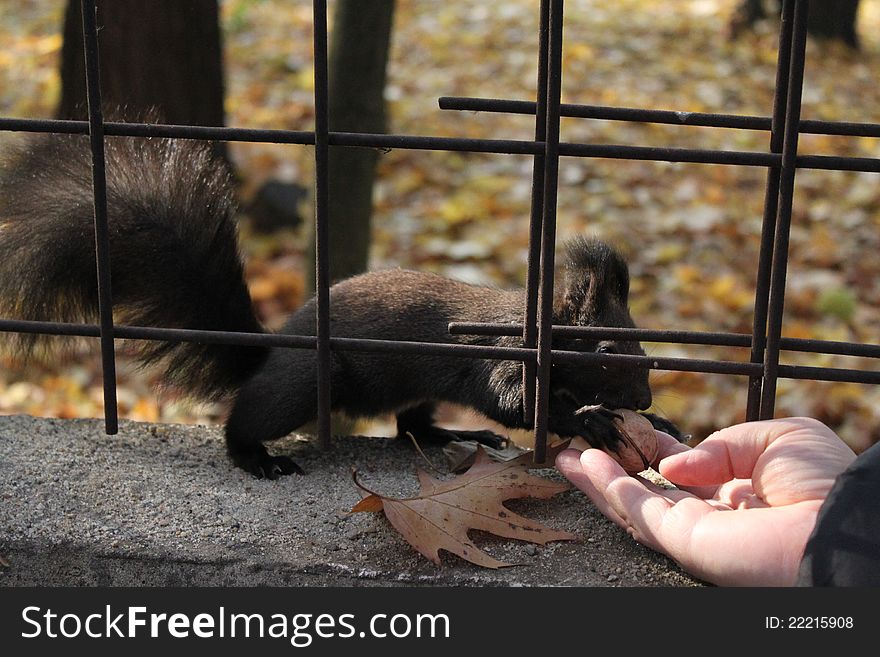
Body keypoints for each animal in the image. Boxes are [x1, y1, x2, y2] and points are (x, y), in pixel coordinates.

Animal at [0, 132, 680, 476]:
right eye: (608, 349)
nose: (645, 401)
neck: (530, 324)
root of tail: (271, 351)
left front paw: (662, 425)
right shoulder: (499, 358)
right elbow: (519, 404)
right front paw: (588, 418)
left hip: (410, 387)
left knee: (413, 426)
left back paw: (455, 434)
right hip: (306, 383)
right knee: (248, 417)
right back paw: (255, 458)